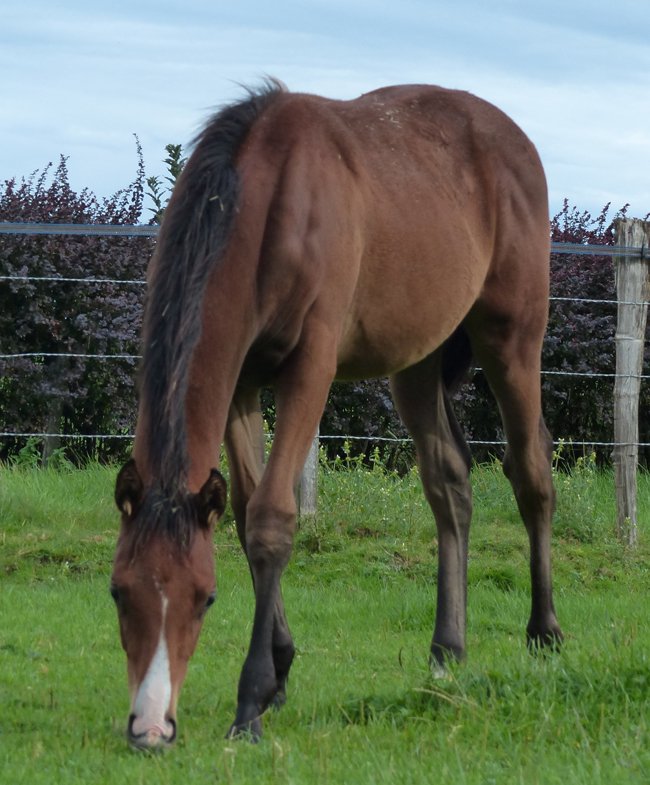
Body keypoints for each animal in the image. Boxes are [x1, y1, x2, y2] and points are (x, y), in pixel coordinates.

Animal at [111, 79, 563, 748]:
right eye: (119, 592)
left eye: (204, 598)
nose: (149, 727)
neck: (268, 196)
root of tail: (517, 141)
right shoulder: (242, 381)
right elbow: (244, 513)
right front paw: (279, 667)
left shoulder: (310, 367)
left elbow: (273, 517)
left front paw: (251, 700)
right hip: (417, 363)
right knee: (450, 485)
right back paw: (446, 650)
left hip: (512, 337)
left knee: (531, 474)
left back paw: (544, 631)